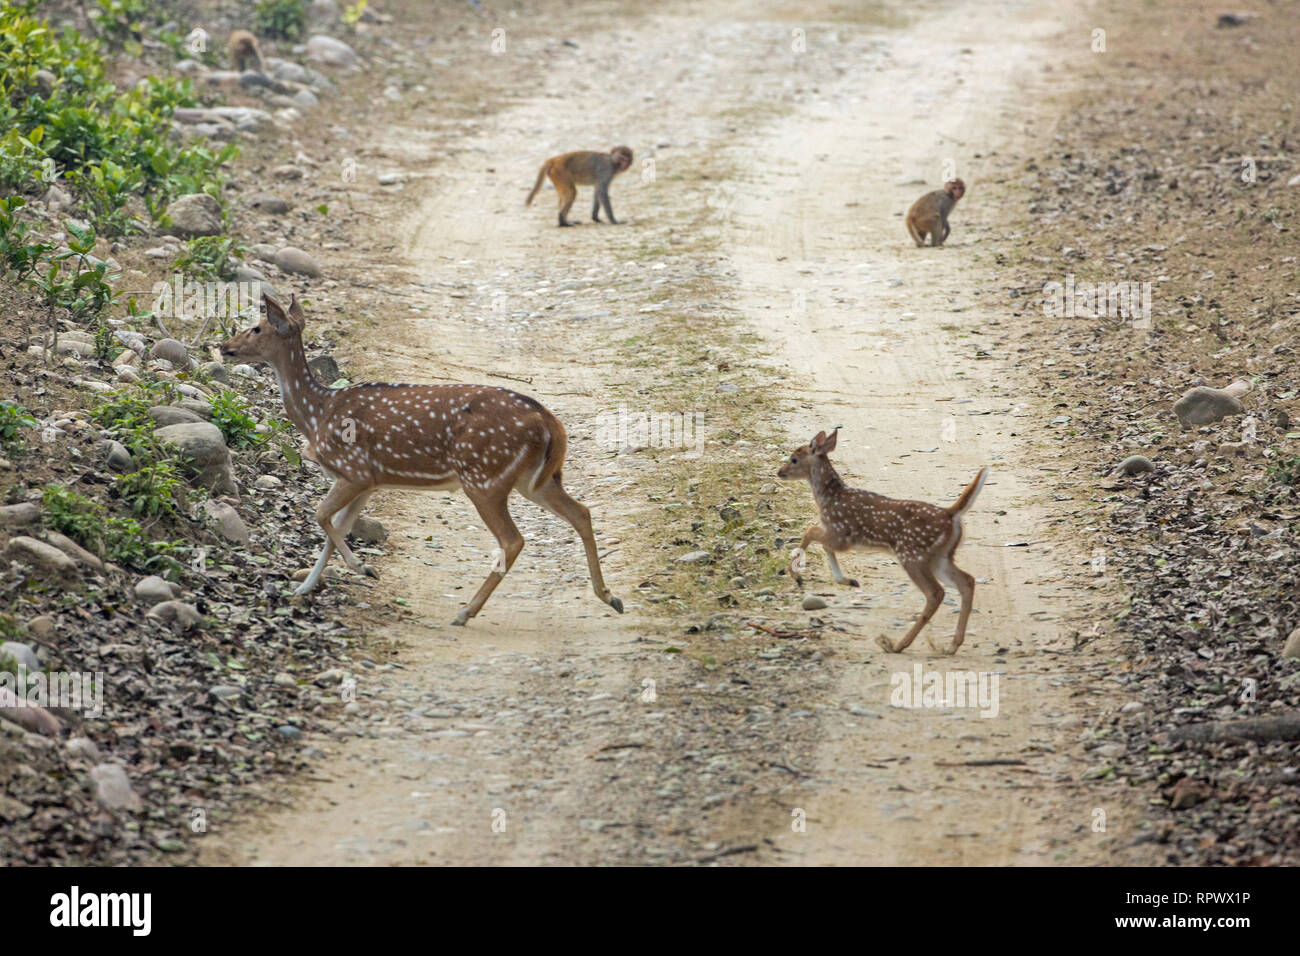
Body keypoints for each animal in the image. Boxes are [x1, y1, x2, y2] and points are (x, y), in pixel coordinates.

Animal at [220, 295, 626, 624]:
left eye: (256, 327)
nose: (224, 346)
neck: (317, 414)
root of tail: (549, 422)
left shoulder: (354, 470)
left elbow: (321, 516)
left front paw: (362, 569)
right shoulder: (368, 481)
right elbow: (337, 527)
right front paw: (303, 589)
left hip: (484, 477)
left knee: (513, 540)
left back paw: (465, 612)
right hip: (534, 479)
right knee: (581, 512)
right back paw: (610, 596)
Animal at [780, 429, 982, 655]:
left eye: (794, 459)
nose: (780, 472)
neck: (829, 498)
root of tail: (950, 514)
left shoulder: (840, 533)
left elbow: (810, 532)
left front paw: (796, 575)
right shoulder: (835, 535)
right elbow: (822, 543)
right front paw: (848, 580)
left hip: (913, 554)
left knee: (935, 593)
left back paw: (897, 644)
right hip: (940, 557)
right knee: (967, 581)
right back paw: (951, 646)